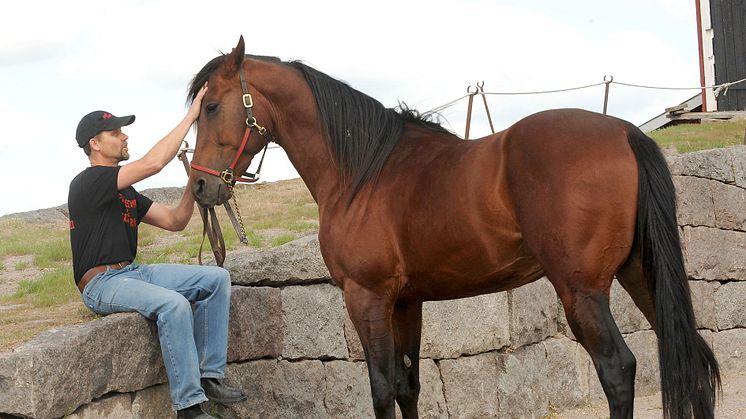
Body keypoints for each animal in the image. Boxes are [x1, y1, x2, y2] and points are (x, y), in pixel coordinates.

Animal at [185, 37, 716, 419]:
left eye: (211, 108)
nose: (200, 187)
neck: (363, 172)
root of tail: (624, 132)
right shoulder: (406, 303)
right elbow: (407, 387)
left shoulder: (366, 297)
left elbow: (381, 389)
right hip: (640, 274)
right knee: (692, 354)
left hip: (581, 291)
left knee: (618, 370)